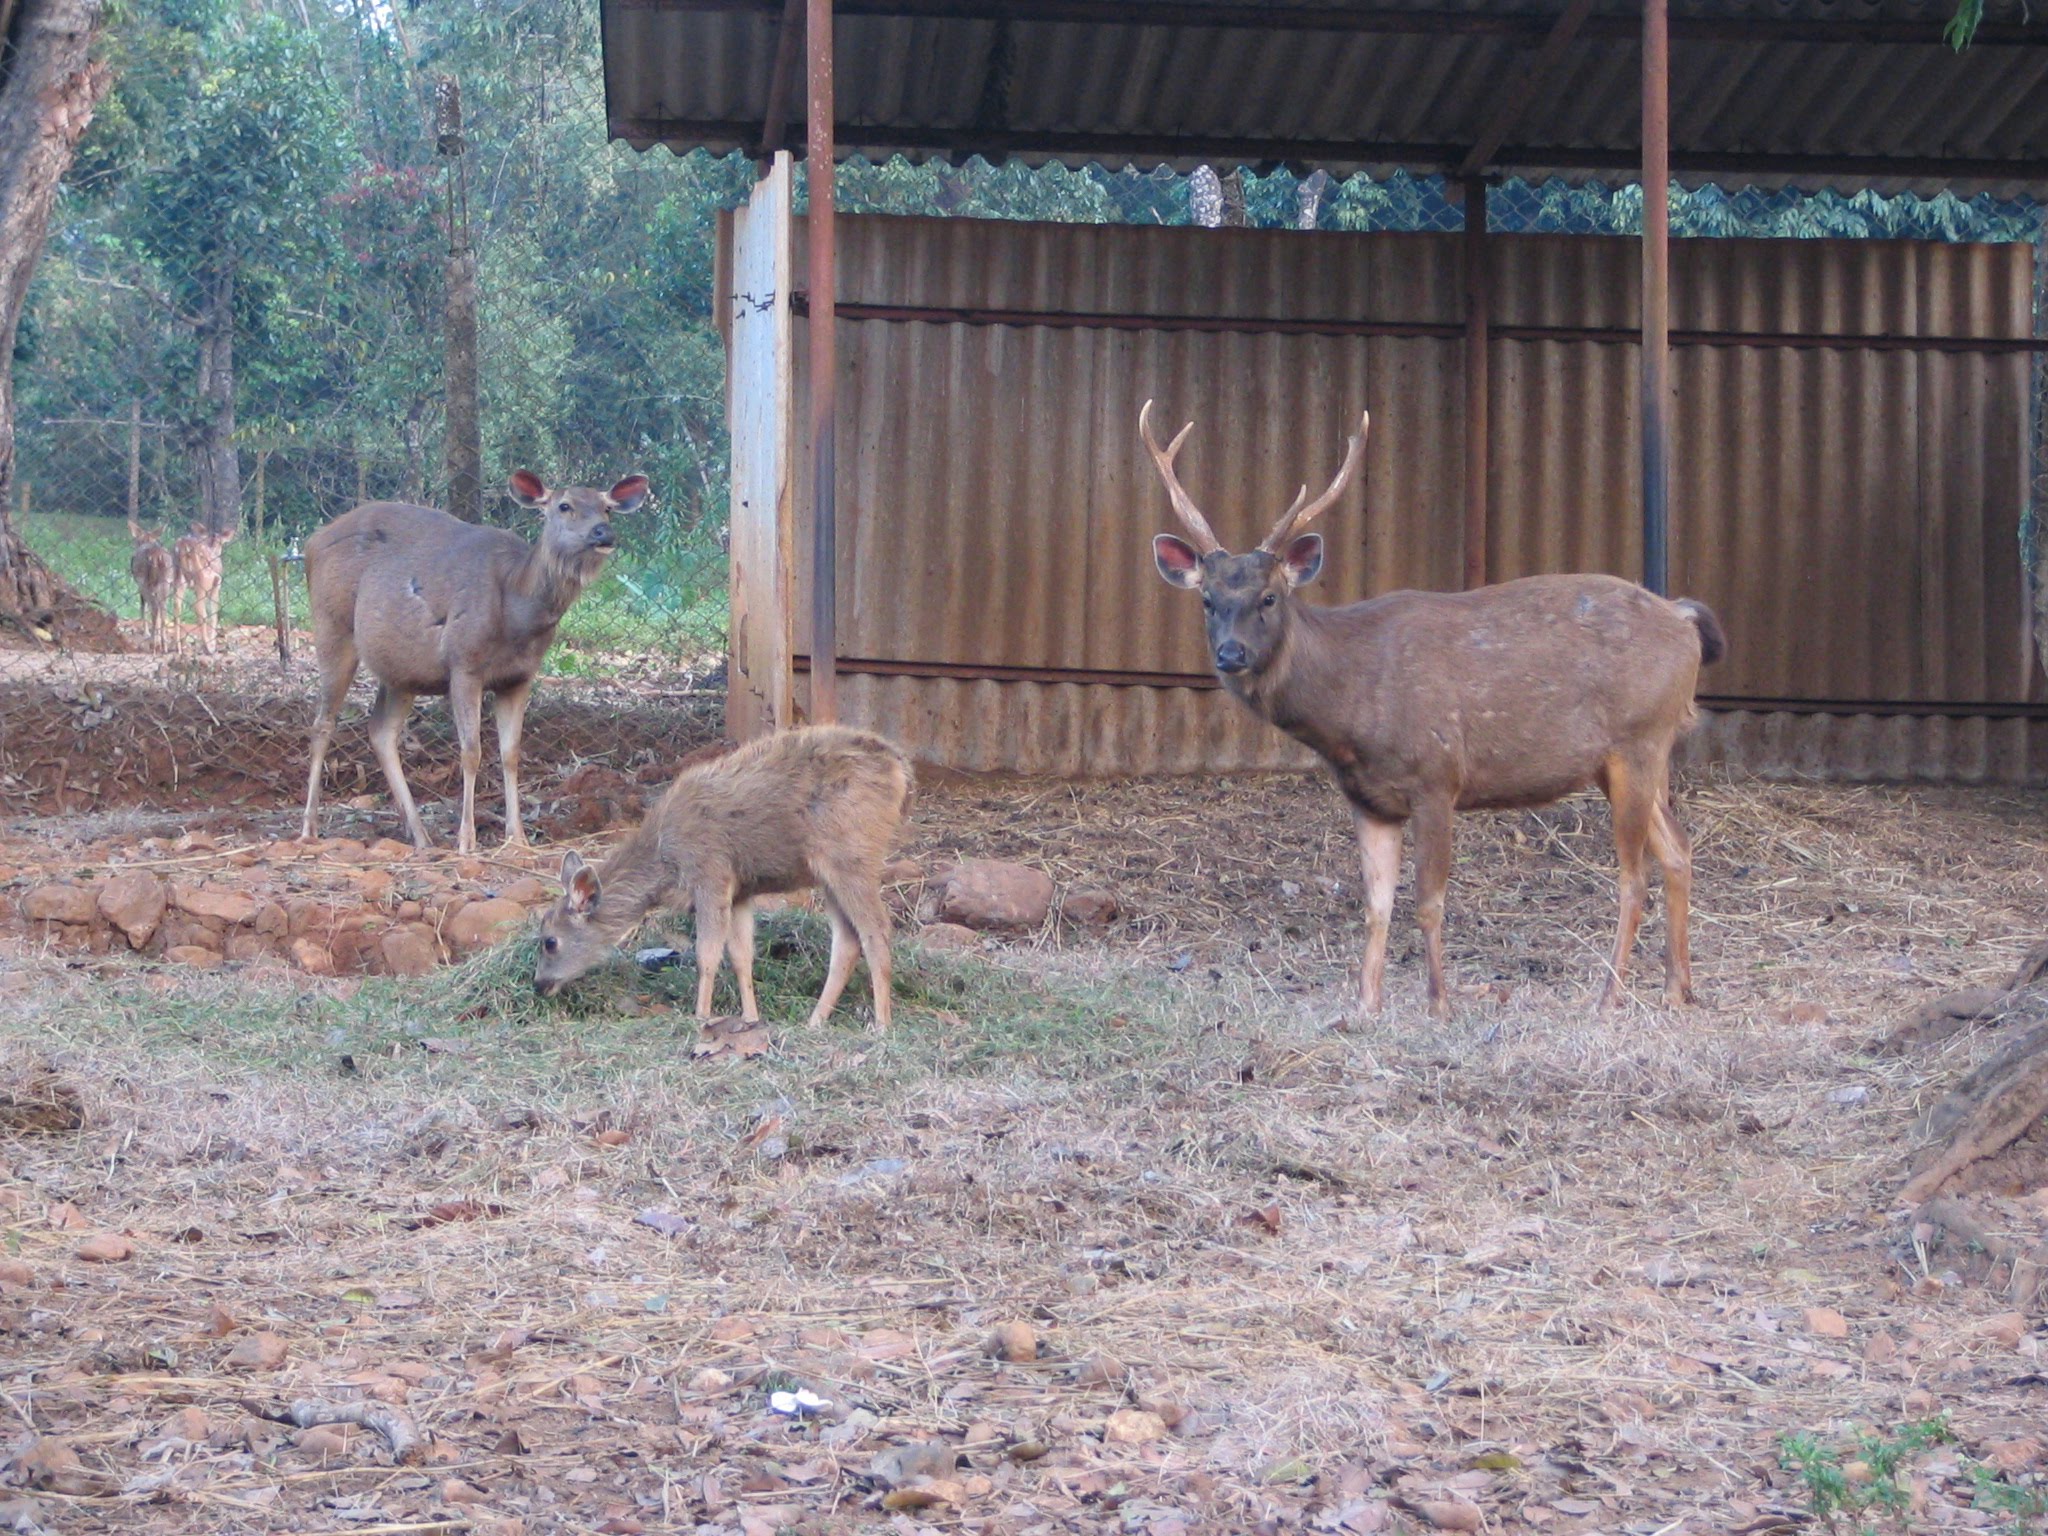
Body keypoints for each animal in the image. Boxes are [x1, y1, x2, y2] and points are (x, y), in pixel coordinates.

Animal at [126, 518, 174, 653]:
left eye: (137, 540)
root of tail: (156, 556)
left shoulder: (140, 584)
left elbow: (143, 607)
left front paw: (146, 632)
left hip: (144, 582)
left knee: (153, 607)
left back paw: (154, 643)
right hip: (165, 582)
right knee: (162, 609)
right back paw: (163, 645)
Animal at [169, 524, 234, 656]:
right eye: (221, 543)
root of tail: (183, 544)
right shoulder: (216, 584)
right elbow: (214, 612)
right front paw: (213, 644)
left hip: (177, 577)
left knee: (176, 605)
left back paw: (176, 647)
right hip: (203, 579)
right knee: (199, 608)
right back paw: (208, 647)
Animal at [299, 471, 649, 855]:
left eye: (607, 507)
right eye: (564, 505)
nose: (603, 532)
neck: (518, 610)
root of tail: (311, 543)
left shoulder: (519, 677)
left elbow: (510, 753)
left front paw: (517, 836)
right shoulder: (464, 663)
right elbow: (471, 751)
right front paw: (467, 839)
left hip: (401, 672)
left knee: (380, 730)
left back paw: (420, 836)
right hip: (333, 625)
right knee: (322, 725)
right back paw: (309, 827)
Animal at [533, 725, 914, 1031]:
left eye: (550, 941)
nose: (538, 984)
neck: (665, 858)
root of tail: (899, 768)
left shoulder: (710, 872)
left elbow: (707, 952)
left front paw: (701, 1015)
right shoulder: (741, 892)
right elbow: (741, 955)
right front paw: (750, 1017)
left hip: (851, 855)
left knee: (877, 930)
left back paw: (882, 1024)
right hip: (829, 873)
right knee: (848, 940)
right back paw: (816, 1020)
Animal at [1140, 400, 1726, 1018]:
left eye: (1269, 597)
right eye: (1208, 600)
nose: (1231, 653)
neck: (1348, 711)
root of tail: (1683, 618)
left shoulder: (1437, 775)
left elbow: (1429, 902)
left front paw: (1439, 1002)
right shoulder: (1369, 799)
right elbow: (1376, 905)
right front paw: (1365, 1005)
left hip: (1641, 738)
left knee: (1633, 877)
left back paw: (1610, 995)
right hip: (1625, 760)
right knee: (1678, 849)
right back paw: (1677, 988)